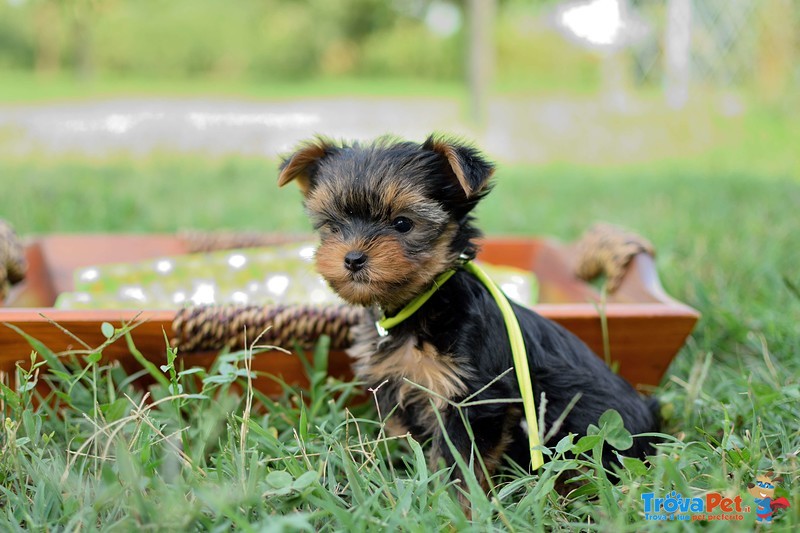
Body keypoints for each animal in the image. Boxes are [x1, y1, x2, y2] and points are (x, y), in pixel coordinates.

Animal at [278, 136, 660, 490]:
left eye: (402, 224)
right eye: (333, 226)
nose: (353, 258)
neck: (423, 302)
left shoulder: (475, 398)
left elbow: (459, 463)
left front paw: (456, 506)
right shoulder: (396, 387)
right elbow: (403, 437)